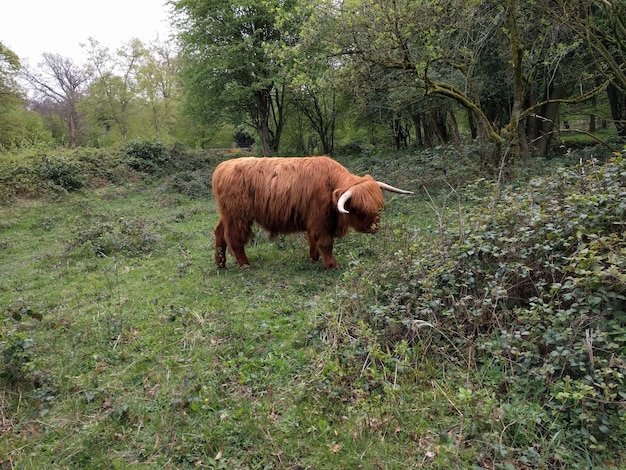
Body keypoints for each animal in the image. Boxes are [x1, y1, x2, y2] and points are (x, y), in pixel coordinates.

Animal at [212, 156, 412, 270]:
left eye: (379, 207)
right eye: (360, 210)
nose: (375, 228)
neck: (330, 184)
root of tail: (221, 167)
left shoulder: (313, 220)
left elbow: (313, 240)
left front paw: (314, 257)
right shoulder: (319, 219)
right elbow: (325, 242)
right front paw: (331, 265)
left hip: (227, 214)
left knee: (219, 233)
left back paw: (221, 263)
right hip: (238, 216)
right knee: (234, 238)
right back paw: (244, 264)